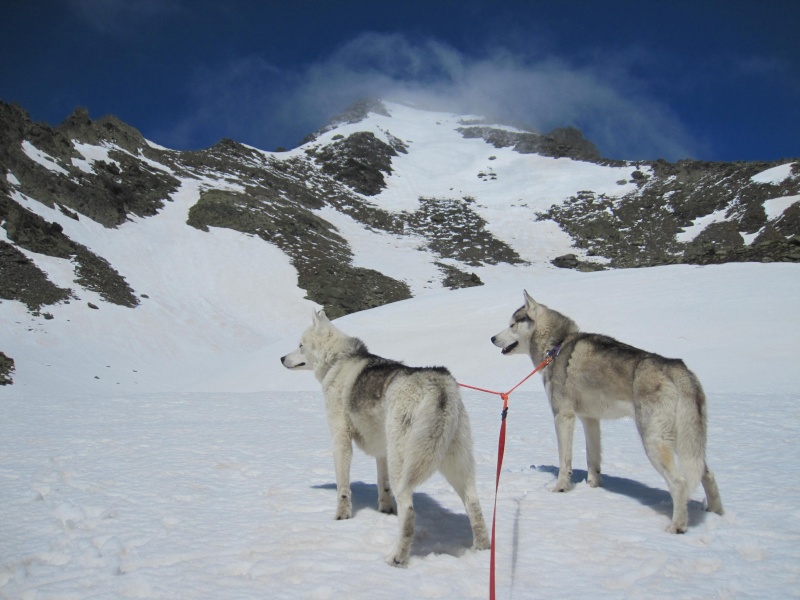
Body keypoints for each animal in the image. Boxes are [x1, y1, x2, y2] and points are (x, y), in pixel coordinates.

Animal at [284, 312, 490, 564]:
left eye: (300, 345)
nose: (282, 358)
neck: (338, 359)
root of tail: (439, 384)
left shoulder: (341, 439)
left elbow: (343, 487)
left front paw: (342, 517)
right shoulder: (382, 451)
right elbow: (383, 487)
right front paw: (385, 511)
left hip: (403, 463)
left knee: (408, 511)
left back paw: (396, 557)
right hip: (454, 463)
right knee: (473, 503)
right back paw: (481, 549)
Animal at [490, 292, 720, 532]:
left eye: (512, 324)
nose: (492, 338)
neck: (557, 345)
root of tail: (678, 368)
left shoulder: (563, 416)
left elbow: (565, 460)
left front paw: (560, 488)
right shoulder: (590, 419)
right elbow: (593, 459)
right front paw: (593, 486)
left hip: (653, 440)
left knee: (679, 482)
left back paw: (677, 526)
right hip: (684, 439)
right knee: (707, 473)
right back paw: (716, 513)